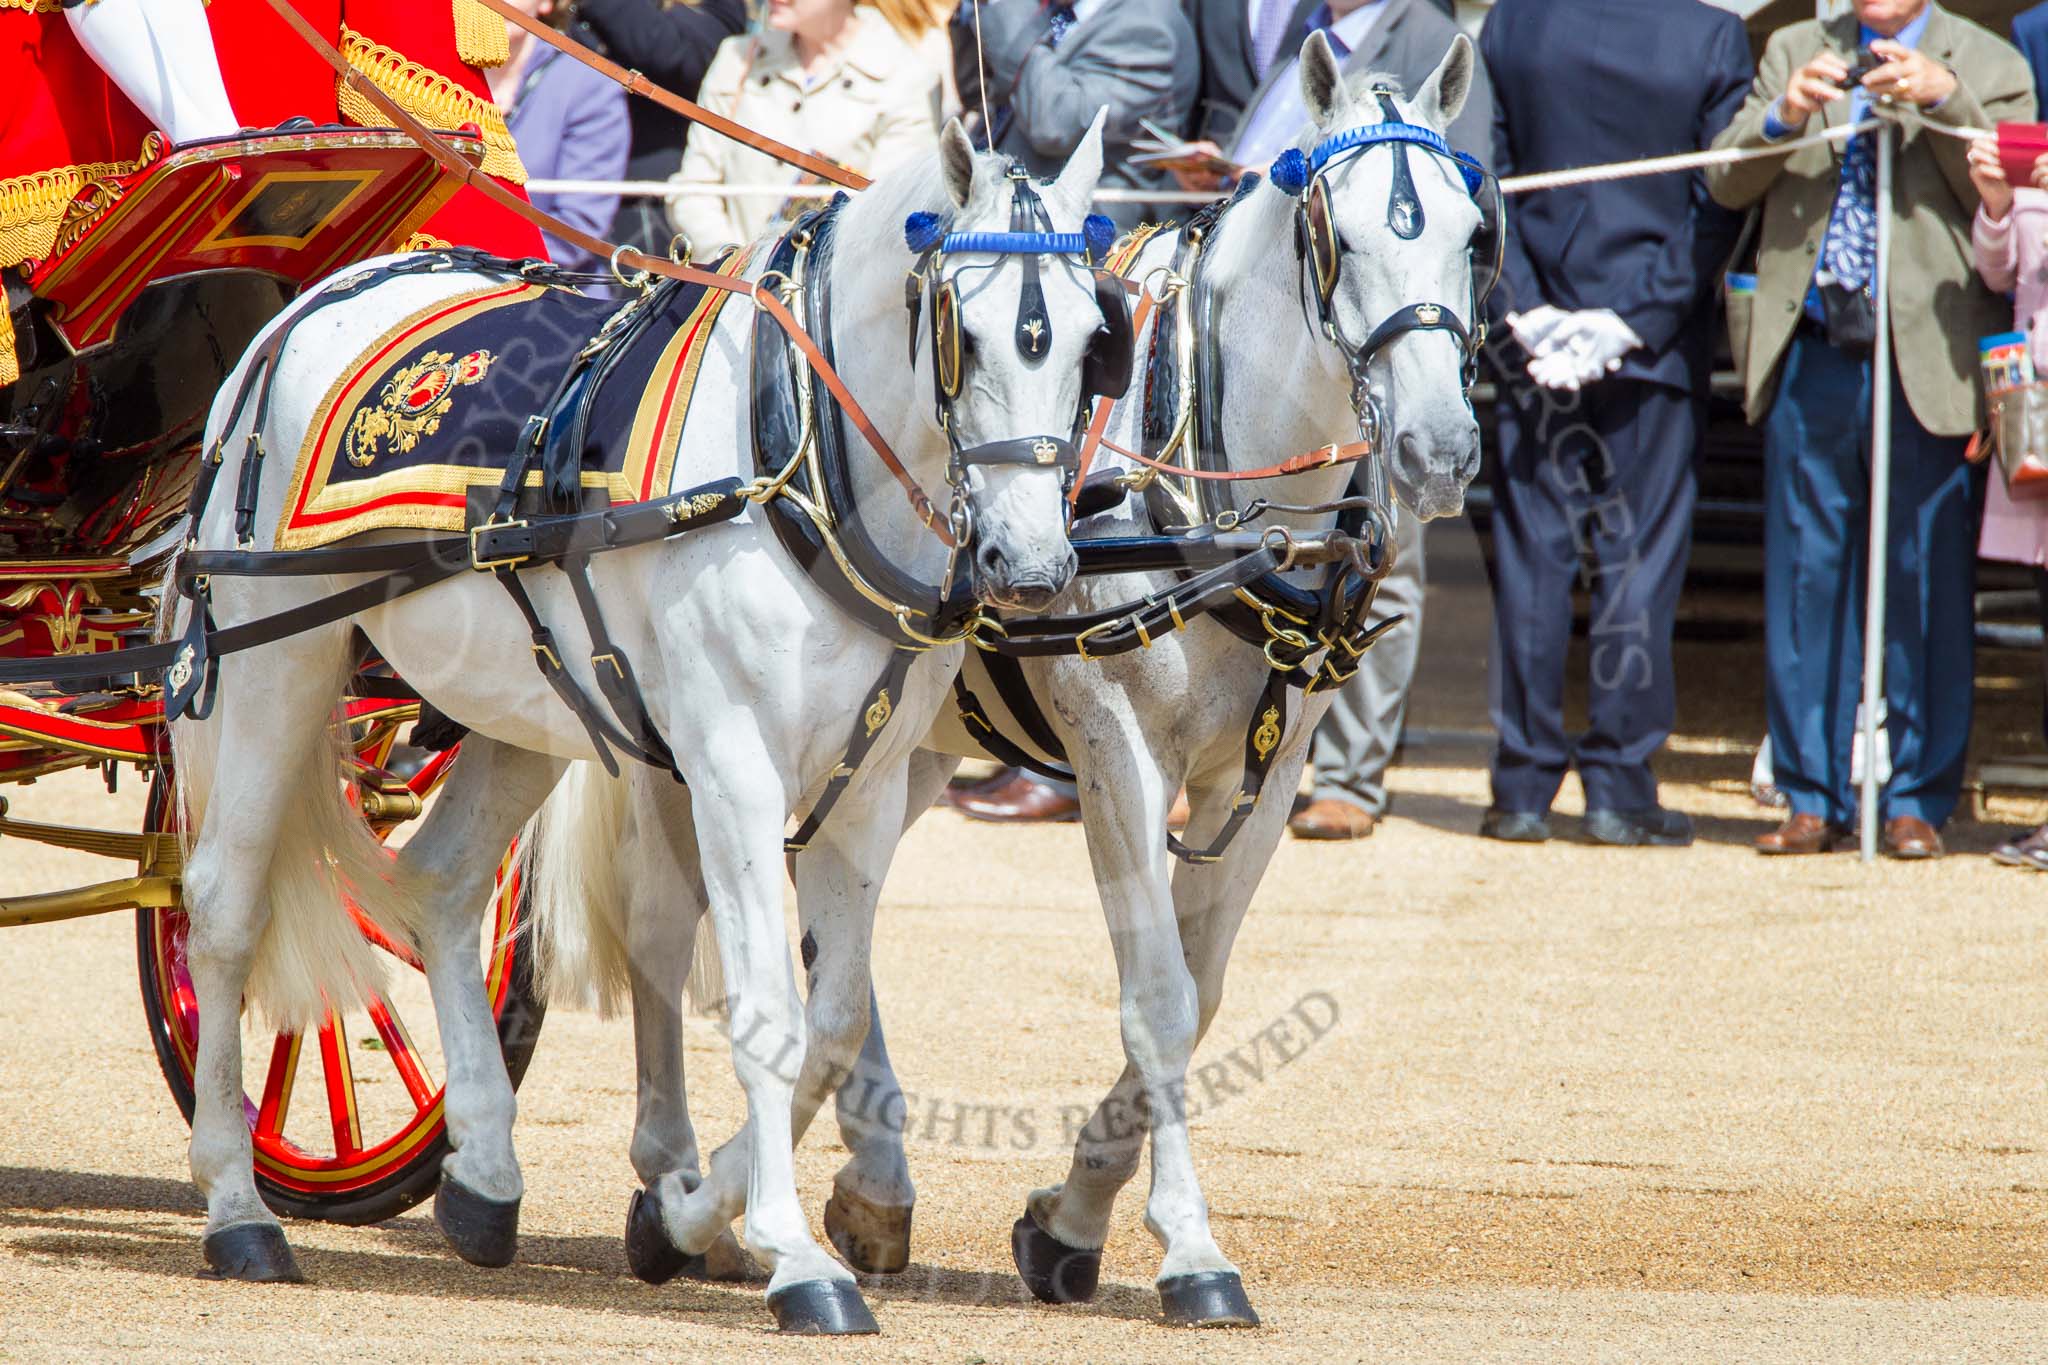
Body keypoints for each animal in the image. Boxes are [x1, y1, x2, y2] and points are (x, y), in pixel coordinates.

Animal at [167, 120, 1122, 1334]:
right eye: (963, 331)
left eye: (1094, 338)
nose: (1032, 567)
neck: (794, 463)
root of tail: (303, 309)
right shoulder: (733, 772)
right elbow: (768, 1010)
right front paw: (792, 1254)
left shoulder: (866, 787)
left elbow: (831, 1022)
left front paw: (688, 1217)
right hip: (274, 659)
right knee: (222, 906)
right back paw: (236, 1204)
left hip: (523, 698)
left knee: (442, 879)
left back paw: (482, 1174)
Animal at [528, 37, 1490, 1326]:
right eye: (1334, 234)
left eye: (1473, 230)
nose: (1439, 450)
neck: (1212, 490)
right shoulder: (1115, 751)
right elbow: (1158, 1001)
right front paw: (1186, 1248)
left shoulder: (1273, 773)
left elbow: (1199, 995)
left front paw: (1069, 1220)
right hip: (694, 742)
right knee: (670, 928)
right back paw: (689, 1182)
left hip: (903, 747)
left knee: (830, 955)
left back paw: (850, 1187)